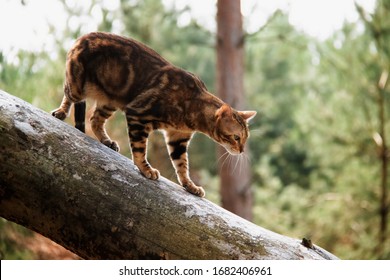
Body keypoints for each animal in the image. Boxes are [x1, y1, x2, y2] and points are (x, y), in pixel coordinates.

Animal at [51, 32, 256, 197]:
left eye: (245, 138)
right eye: (236, 137)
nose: (241, 150)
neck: (191, 110)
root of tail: (83, 36)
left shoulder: (178, 138)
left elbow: (182, 164)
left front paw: (190, 185)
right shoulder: (139, 114)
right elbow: (140, 149)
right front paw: (146, 169)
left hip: (111, 100)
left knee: (95, 119)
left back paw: (107, 141)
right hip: (78, 86)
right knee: (69, 95)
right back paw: (60, 112)